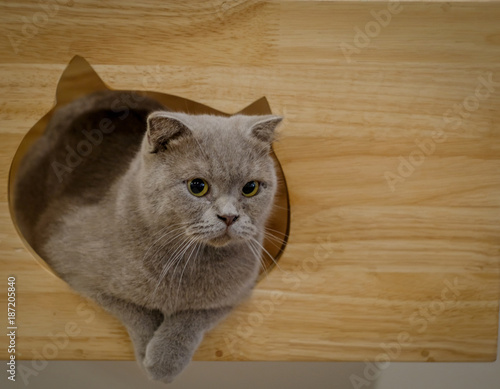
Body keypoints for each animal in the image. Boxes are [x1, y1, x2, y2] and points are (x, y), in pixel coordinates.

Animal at [14, 90, 282, 382]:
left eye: (250, 188)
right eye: (197, 186)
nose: (229, 216)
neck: (187, 262)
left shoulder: (238, 291)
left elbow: (195, 314)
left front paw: (165, 359)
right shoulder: (70, 261)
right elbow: (135, 308)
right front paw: (151, 358)